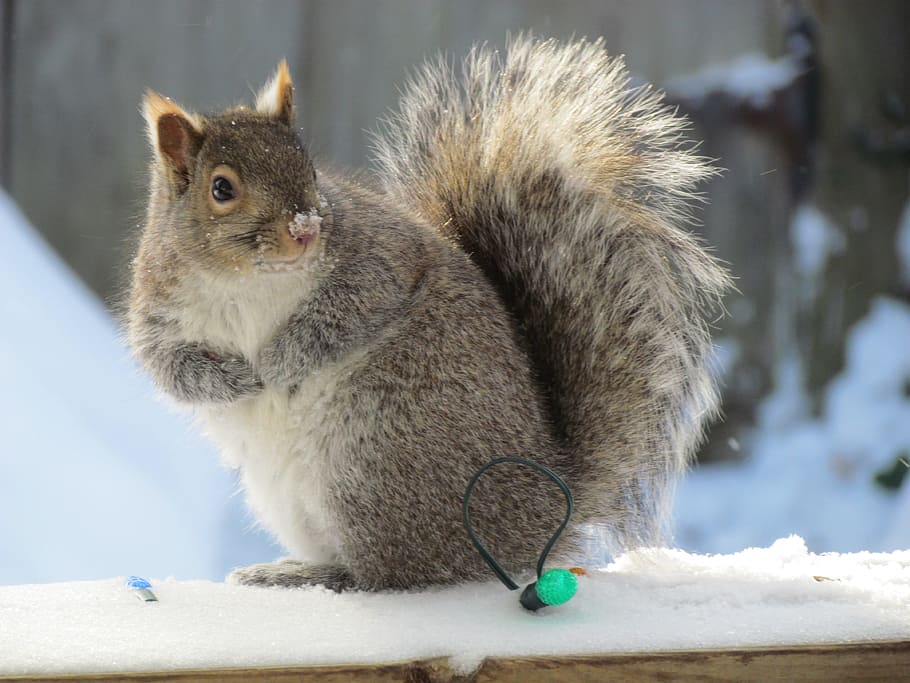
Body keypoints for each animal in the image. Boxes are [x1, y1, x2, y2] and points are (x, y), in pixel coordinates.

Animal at [127, 36, 731, 592]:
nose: (306, 229)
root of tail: (539, 509)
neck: (250, 279)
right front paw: (232, 380)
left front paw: (278, 362)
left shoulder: (383, 260)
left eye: (311, 171)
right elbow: (170, 368)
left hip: (374, 457)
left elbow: (342, 314)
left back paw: (311, 575)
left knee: (395, 572)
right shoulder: (156, 311)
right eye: (221, 188)